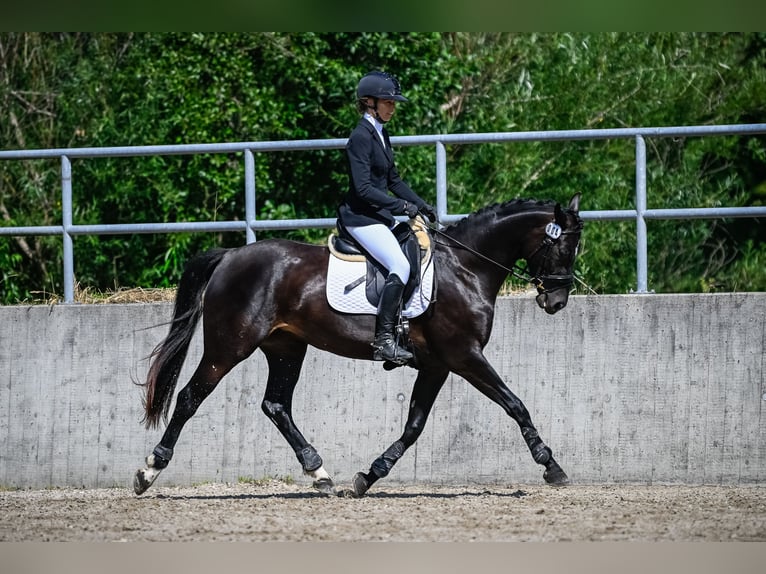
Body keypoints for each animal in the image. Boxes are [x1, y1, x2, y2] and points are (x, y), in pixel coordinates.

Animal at [135, 195, 584, 500]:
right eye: (564, 247)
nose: (557, 303)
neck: (464, 269)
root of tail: (231, 257)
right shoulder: (465, 356)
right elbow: (515, 404)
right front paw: (552, 466)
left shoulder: (437, 365)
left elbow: (414, 426)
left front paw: (369, 476)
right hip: (229, 346)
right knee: (190, 397)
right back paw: (148, 471)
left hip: (286, 348)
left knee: (276, 405)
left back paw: (320, 474)